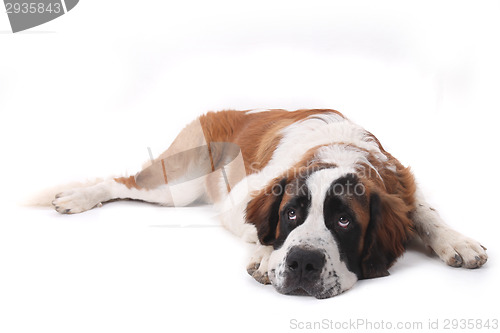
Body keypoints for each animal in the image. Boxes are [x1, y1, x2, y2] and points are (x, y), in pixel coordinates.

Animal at [50, 109, 488, 298]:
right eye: (291, 213)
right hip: (179, 181)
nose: (303, 264)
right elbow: (258, 228)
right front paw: (266, 257)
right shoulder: (238, 198)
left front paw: (458, 241)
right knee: (120, 182)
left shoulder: (403, 187)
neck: (340, 153)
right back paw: (76, 197)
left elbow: (425, 214)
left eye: (344, 222)